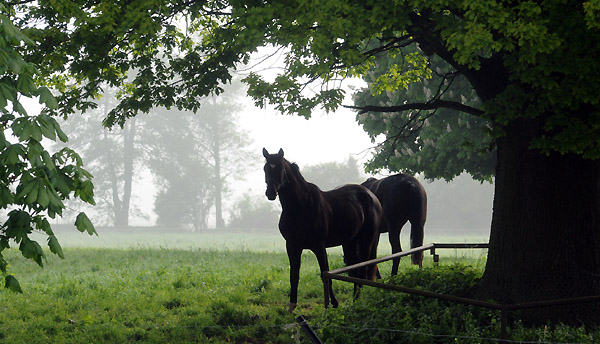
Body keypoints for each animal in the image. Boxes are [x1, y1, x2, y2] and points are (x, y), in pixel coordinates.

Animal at [264, 148, 384, 312]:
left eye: (281, 169)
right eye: (265, 169)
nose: (270, 193)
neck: (301, 206)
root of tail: (372, 196)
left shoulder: (319, 247)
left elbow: (324, 274)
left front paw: (333, 303)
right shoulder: (292, 246)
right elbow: (294, 275)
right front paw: (292, 305)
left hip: (367, 241)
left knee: (362, 268)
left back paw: (357, 299)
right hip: (350, 243)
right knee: (354, 268)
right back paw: (354, 299)